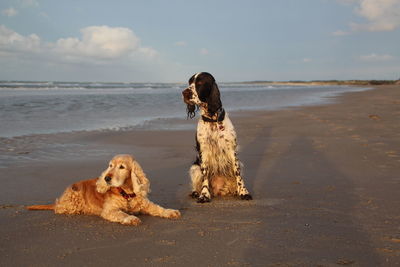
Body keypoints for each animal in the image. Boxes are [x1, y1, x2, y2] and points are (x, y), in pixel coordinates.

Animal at [26, 155, 180, 226]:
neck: (126, 193)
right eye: (110, 165)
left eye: (122, 167)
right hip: (72, 202)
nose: (106, 178)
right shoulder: (109, 210)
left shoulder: (145, 204)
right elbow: (121, 213)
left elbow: (158, 208)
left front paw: (170, 211)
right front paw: (131, 218)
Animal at [182, 71, 252, 203]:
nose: (184, 93)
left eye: (200, 82)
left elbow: (238, 174)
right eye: (189, 82)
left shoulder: (231, 150)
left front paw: (243, 192)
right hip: (194, 167)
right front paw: (204, 195)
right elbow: (205, 175)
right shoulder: (204, 151)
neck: (213, 120)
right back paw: (195, 193)